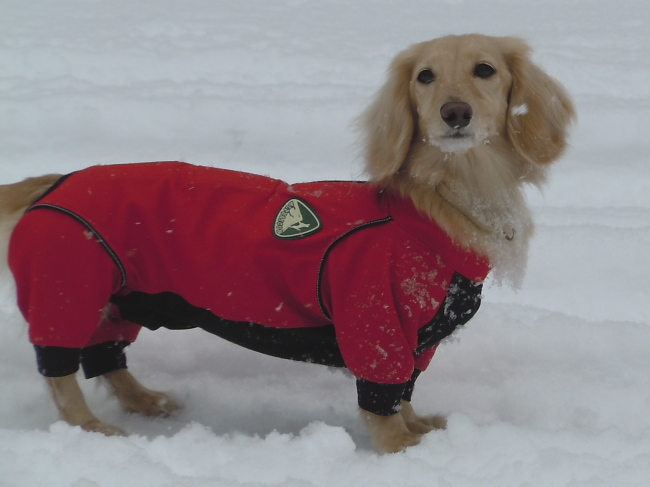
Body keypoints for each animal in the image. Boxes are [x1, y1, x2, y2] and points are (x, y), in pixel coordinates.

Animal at [0, 35, 572, 454]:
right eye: (424, 76)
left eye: (485, 70)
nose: (454, 113)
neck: (437, 202)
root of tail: (56, 182)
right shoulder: (376, 327)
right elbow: (383, 400)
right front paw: (401, 448)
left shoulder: (417, 343)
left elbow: (407, 392)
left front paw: (419, 427)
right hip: (65, 294)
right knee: (61, 375)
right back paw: (89, 428)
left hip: (118, 299)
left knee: (107, 358)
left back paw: (144, 401)